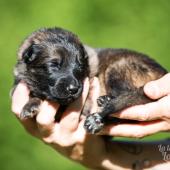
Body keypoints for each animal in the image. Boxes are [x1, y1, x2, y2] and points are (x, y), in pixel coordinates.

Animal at [13, 27, 167, 134]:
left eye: (80, 66)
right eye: (54, 65)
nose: (74, 89)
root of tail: (163, 72)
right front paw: (31, 104)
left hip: (118, 67)